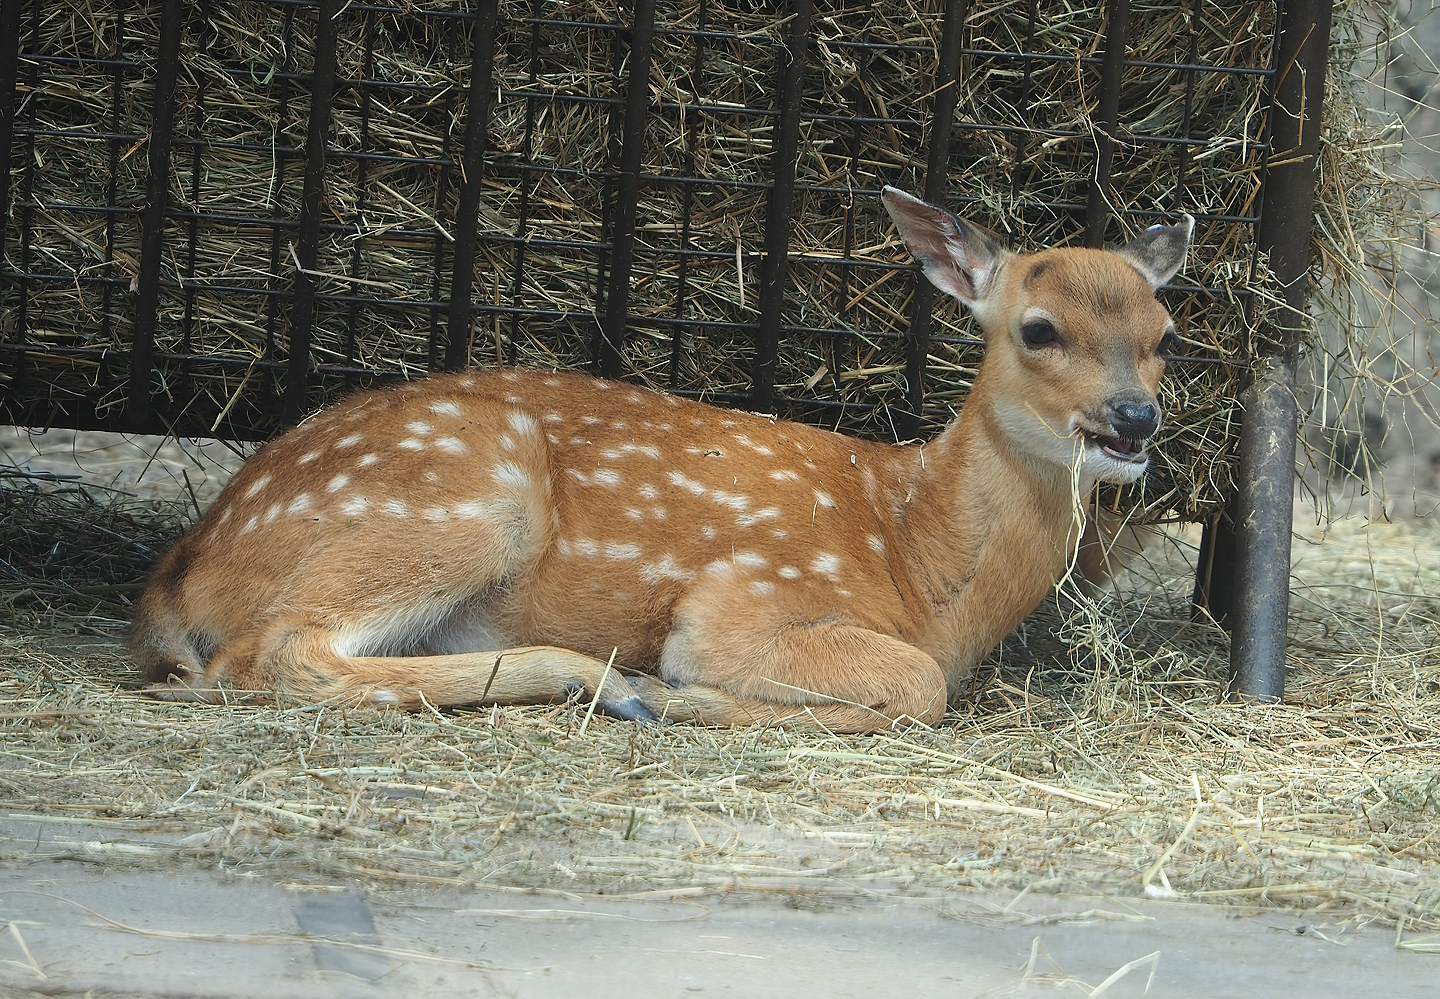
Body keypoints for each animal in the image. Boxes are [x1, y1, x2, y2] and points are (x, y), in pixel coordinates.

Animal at [130, 187, 1191, 733]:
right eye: (1039, 328)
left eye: (1165, 335)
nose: (1133, 419)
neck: (920, 559)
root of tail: (178, 572)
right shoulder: (744, 594)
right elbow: (917, 688)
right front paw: (691, 694)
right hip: (470, 497)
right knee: (273, 652)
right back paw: (610, 684)